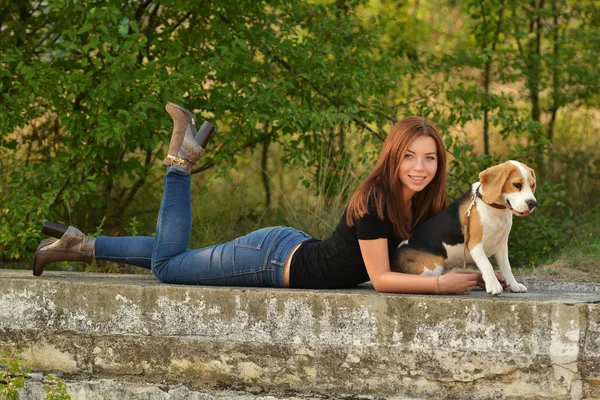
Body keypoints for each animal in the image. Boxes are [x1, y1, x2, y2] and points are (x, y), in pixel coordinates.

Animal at [392, 161, 536, 296]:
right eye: (517, 184)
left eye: (533, 185)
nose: (532, 203)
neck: (495, 209)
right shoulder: (474, 244)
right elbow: (487, 264)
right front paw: (493, 286)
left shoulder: (501, 245)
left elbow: (507, 268)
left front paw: (514, 286)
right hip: (432, 268)